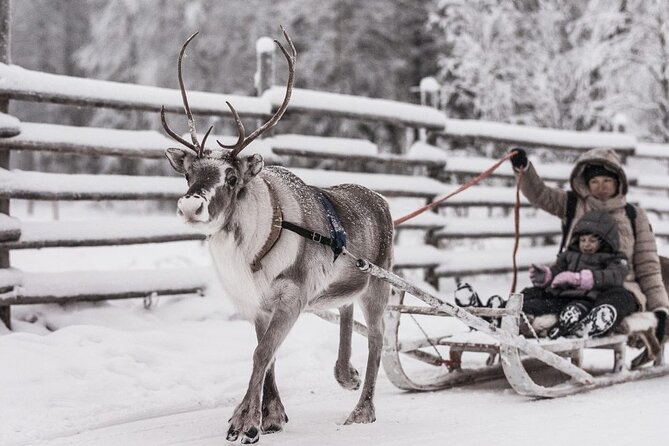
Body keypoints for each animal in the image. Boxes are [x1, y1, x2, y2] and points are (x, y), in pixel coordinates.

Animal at [161, 27, 394, 444]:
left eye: (231, 177)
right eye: (188, 174)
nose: (190, 206)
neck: (252, 250)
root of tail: (381, 200)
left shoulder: (292, 296)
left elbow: (261, 354)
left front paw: (244, 422)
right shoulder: (258, 303)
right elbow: (266, 355)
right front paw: (271, 416)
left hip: (378, 283)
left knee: (378, 337)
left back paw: (362, 409)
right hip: (349, 279)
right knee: (346, 307)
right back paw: (345, 373)